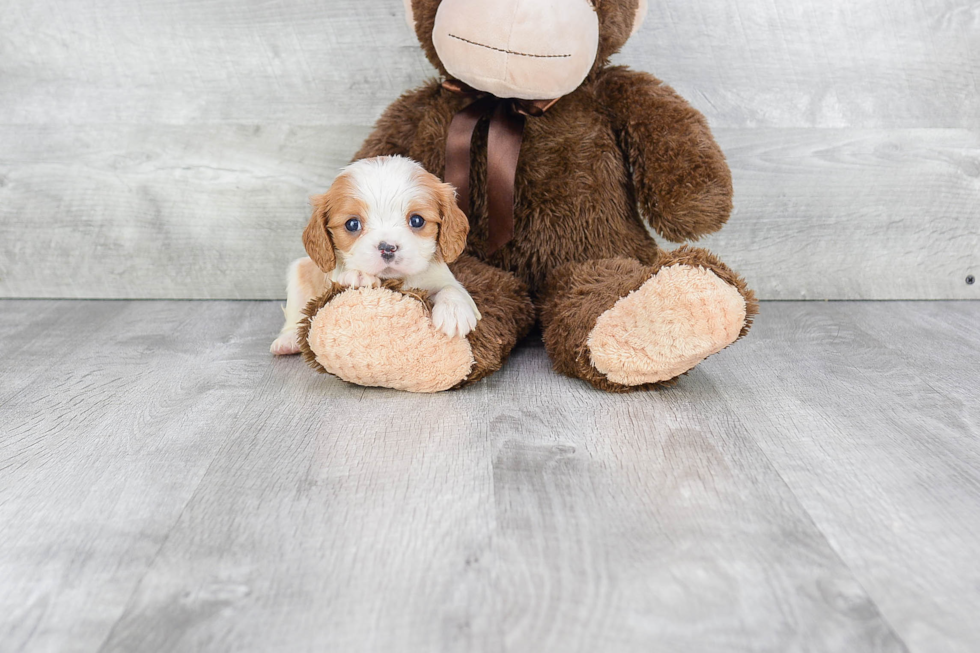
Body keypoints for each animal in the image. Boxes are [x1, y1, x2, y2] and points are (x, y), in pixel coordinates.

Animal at [270, 155, 480, 354]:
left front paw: (454, 311)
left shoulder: (440, 277)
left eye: (417, 220)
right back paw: (288, 340)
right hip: (299, 271)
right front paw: (359, 276)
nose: (387, 247)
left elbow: (451, 288)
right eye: (352, 224)